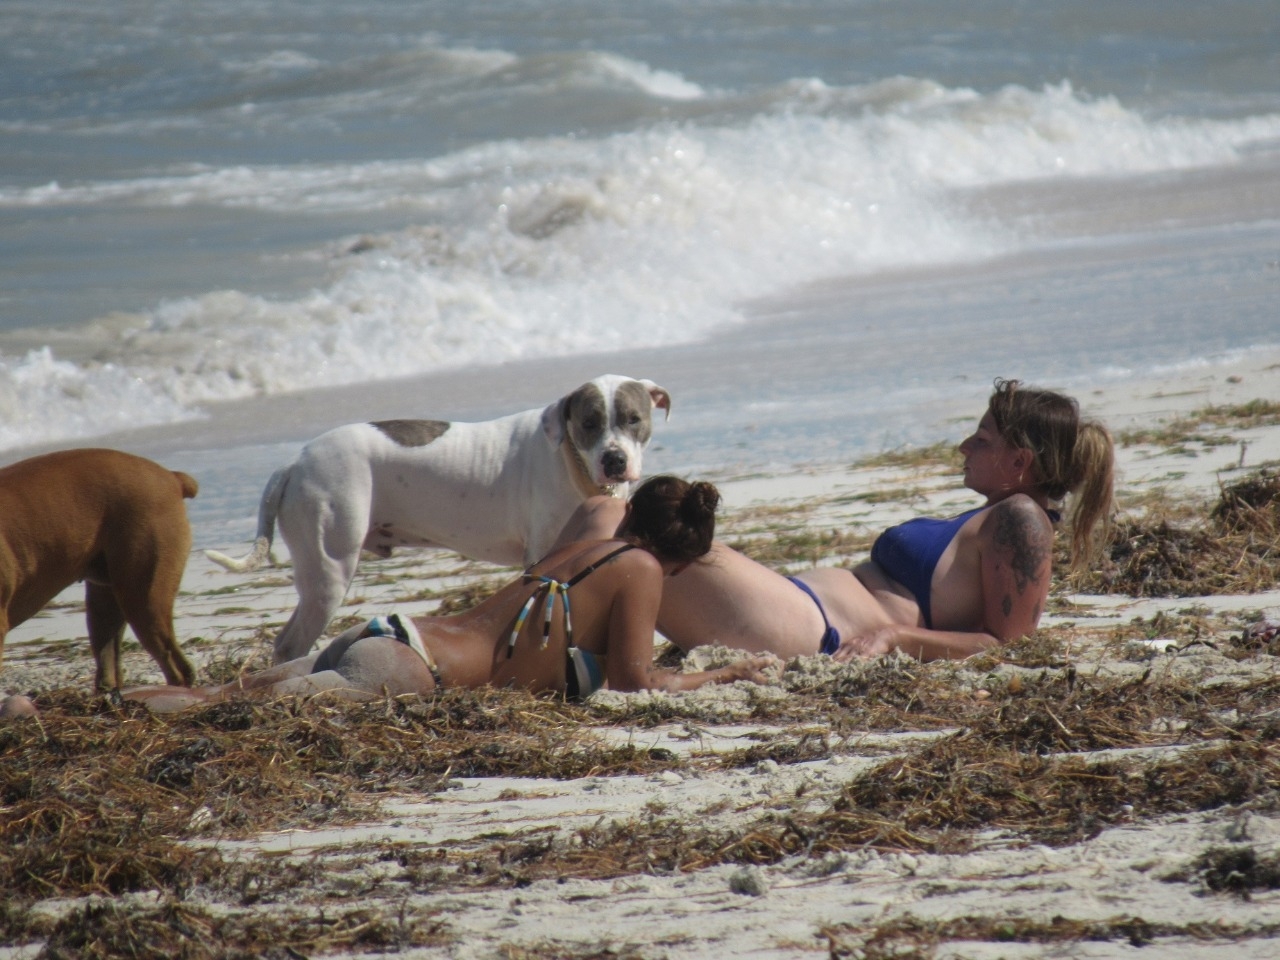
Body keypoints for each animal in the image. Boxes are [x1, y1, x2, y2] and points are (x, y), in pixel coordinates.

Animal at [206, 376, 670, 660]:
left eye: (634, 420)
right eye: (589, 423)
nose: (614, 460)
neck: (572, 462)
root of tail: (295, 462)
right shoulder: (543, 555)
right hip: (328, 569)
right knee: (291, 642)